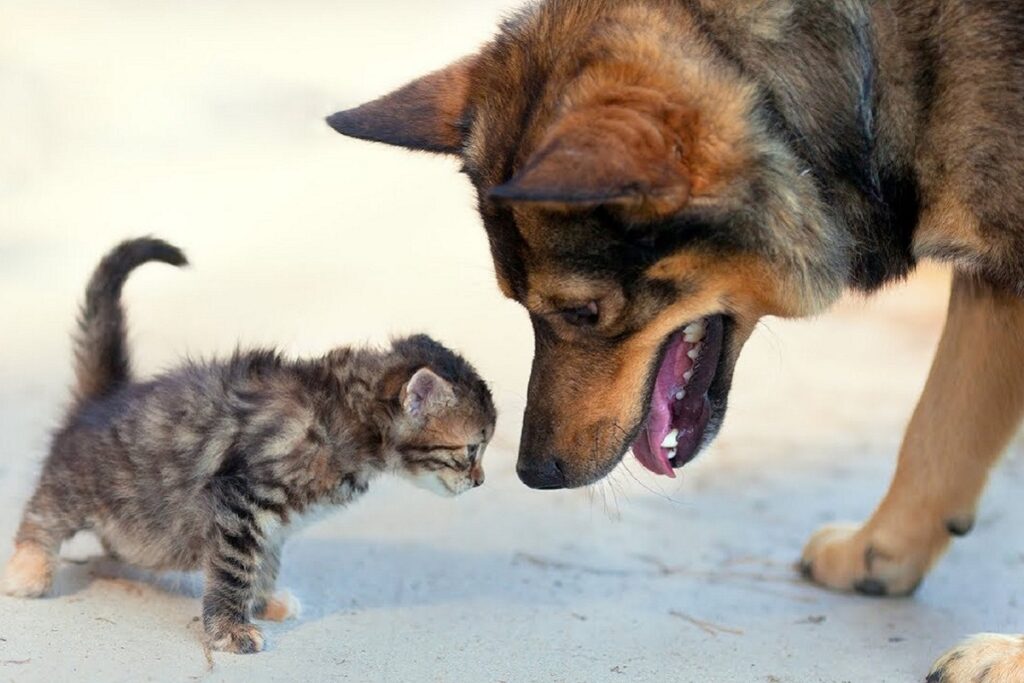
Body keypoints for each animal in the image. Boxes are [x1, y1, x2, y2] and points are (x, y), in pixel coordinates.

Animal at [0, 237, 495, 655]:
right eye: (472, 450)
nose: (480, 481)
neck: (345, 416)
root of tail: (107, 395)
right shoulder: (241, 499)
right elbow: (234, 568)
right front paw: (230, 629)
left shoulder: (272, 520)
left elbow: (265, 560)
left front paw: (264, 600)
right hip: (79, 482)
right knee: (43, 512)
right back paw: (28, 571)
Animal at [325, 0, 1024, 679]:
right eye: (517, 304)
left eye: (582, 311)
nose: (532, 474)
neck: (870, 71)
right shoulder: (995, 280)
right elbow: (936, 428)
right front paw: (881, 553)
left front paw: (1007, 655)